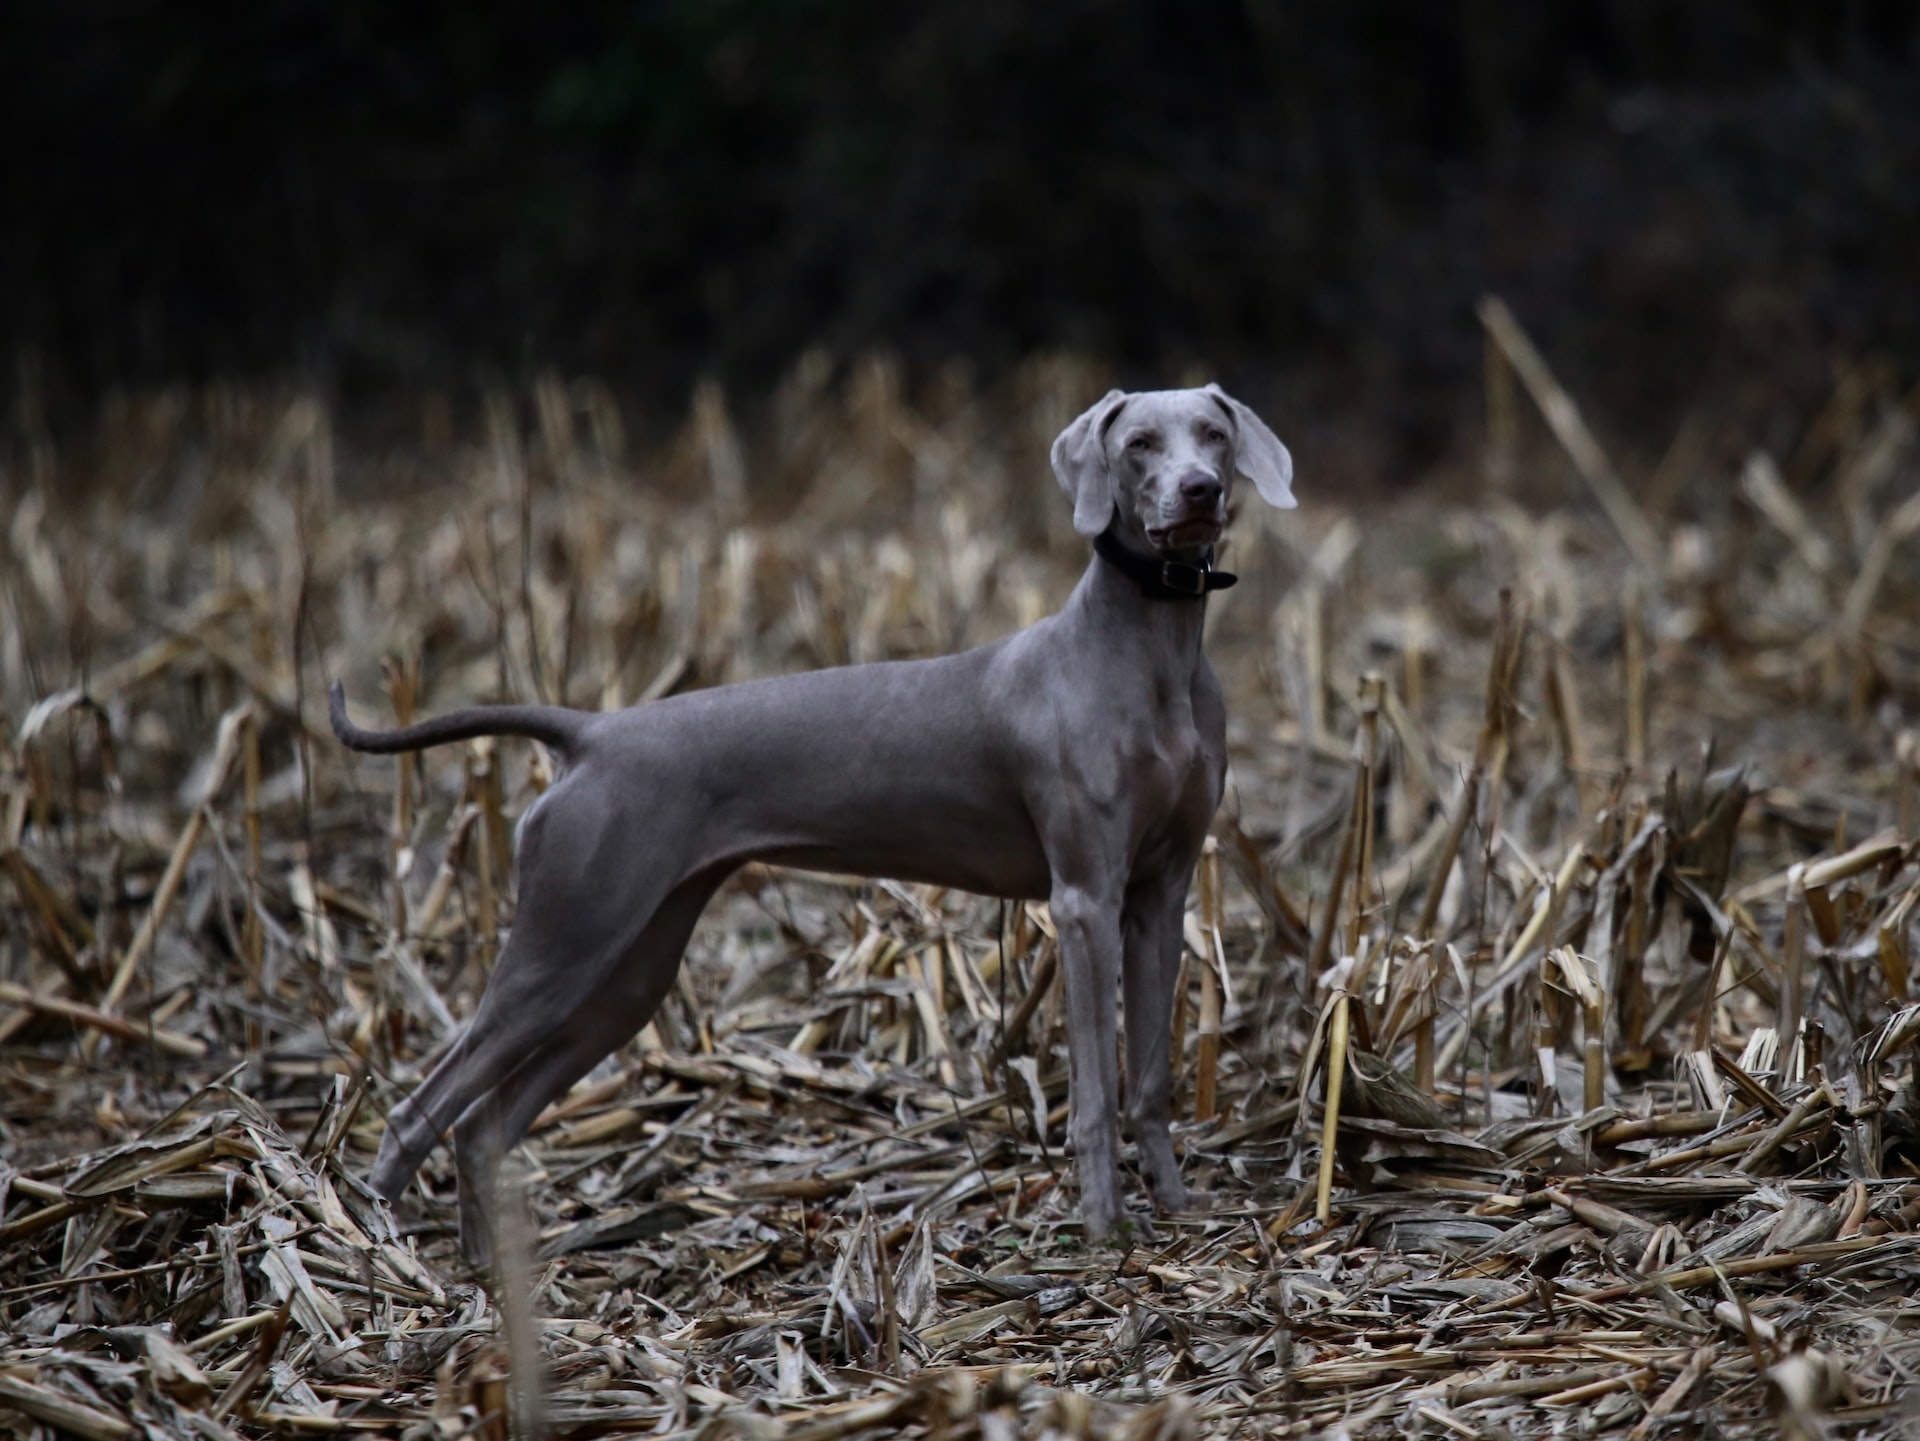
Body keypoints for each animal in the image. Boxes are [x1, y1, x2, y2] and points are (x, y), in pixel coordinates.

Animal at [330, 389, 1297, 1258]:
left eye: (1213, 432)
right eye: (1138, 443)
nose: (1201, 489)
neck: (1151, 649)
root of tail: (591, 732)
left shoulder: (1160, 894)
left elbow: (1151, 1074)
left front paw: (1175, 1208)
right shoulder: (1085, 899)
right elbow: (1095, 1088)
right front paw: (1102, 1229)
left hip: (629, 972)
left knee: (484, 1123)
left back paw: (489, 1275)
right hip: (565, 942)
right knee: (421, 1107)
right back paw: (380, 1256)